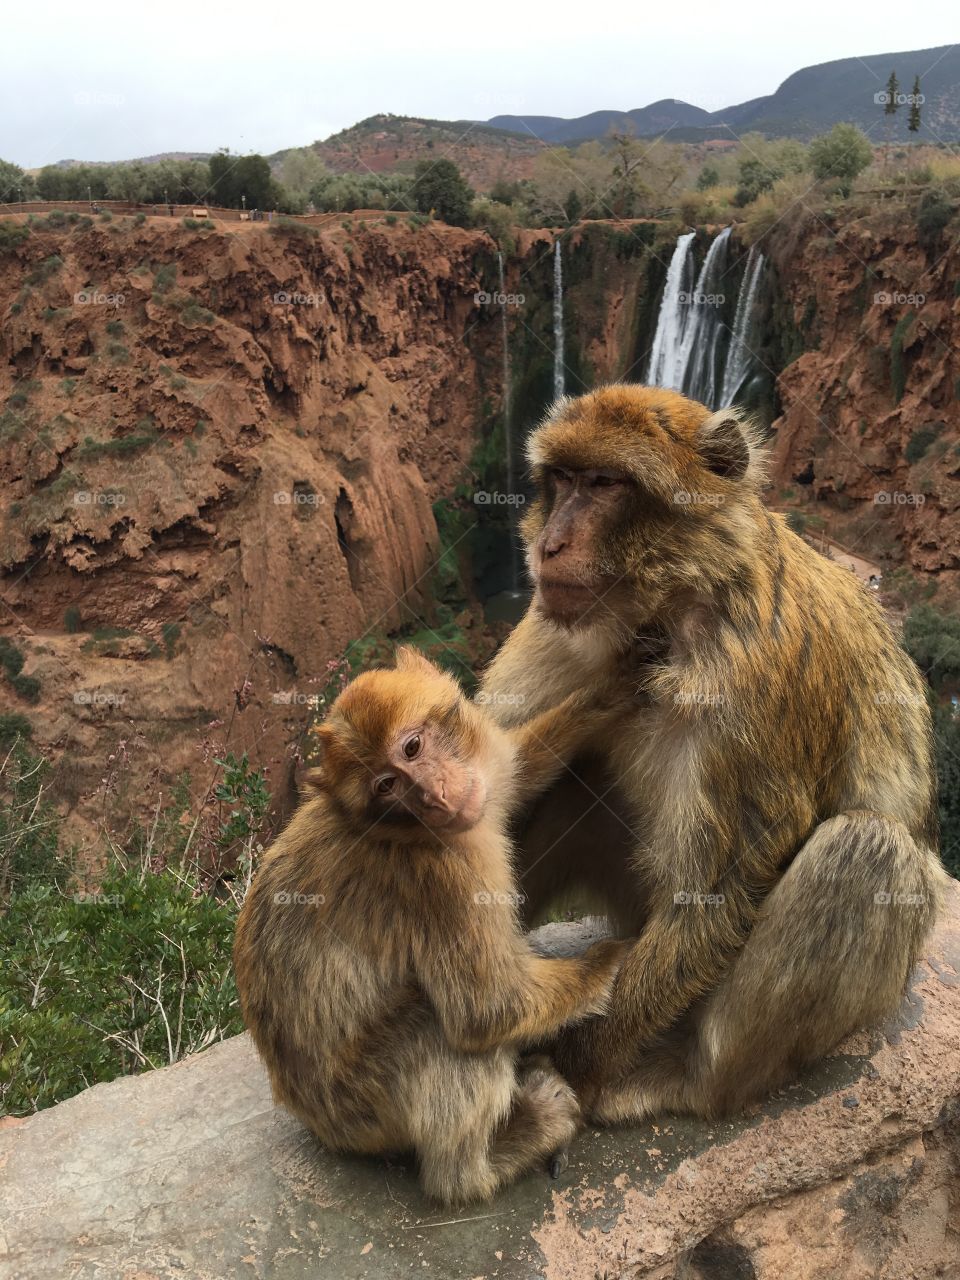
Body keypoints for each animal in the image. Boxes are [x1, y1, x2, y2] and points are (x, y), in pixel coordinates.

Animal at [233, 646, 629, 1204]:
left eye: (413, 747)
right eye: (387, 786)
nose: (435, 796)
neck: (401, 832)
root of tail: (313, 1120)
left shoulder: (481, 780)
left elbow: (517, 766)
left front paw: (618, 685)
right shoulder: (441, 878)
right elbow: (486, 1008)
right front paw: (612, 957)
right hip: (364, 1108)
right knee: (435, 1031)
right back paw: (495, 1155)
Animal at [478, 383, 949, 1126]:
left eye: (605, 484)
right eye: (562, 480)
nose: (550, 544)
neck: (668, 606)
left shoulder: (751, 677)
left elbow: (719, 890)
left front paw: (574, 1064)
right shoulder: (556, 628)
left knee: (865, 850)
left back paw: (690, 1080)